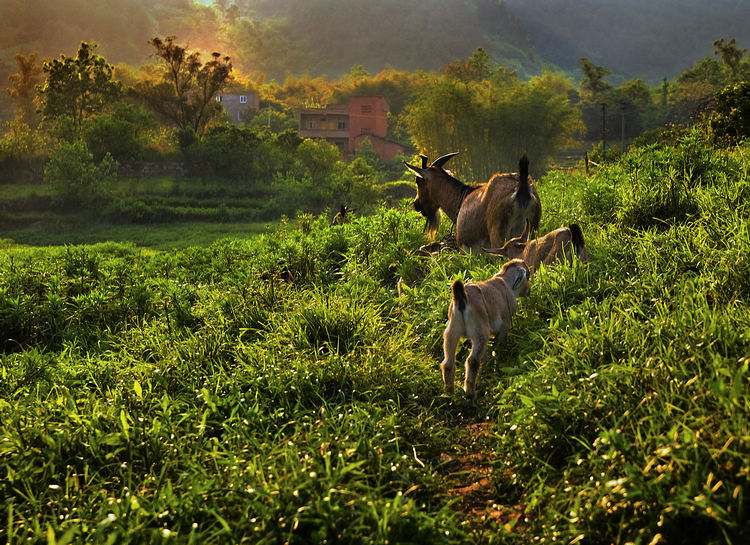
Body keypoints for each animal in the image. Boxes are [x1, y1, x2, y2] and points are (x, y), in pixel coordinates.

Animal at [406, 151, 540, 253]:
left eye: (418, 181)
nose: (416, 204)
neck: (461, 197)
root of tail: (522, 189)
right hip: (532, 230)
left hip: (498, 235)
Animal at [444, 258, 532, 396]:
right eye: (527, 276)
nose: (529, 290)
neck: (504, 282)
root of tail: (462, 299)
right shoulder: (504, 327)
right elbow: (497, 349)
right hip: (480, 332)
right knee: (472, 360)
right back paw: (470, 393)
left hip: (452, 331)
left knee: (448, 363)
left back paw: (449, 394)